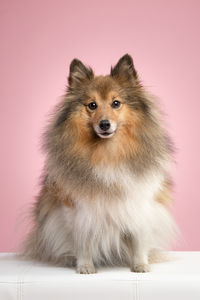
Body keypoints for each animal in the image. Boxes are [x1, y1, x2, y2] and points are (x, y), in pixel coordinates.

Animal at [22, 52, 177, 274]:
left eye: (116, 103)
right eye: (92, 105)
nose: (104, 124)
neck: (107, 152)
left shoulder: (139, 202)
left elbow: (139, 238)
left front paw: (140, 264)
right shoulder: (76, 209)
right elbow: (82, 240)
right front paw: (85, 266)